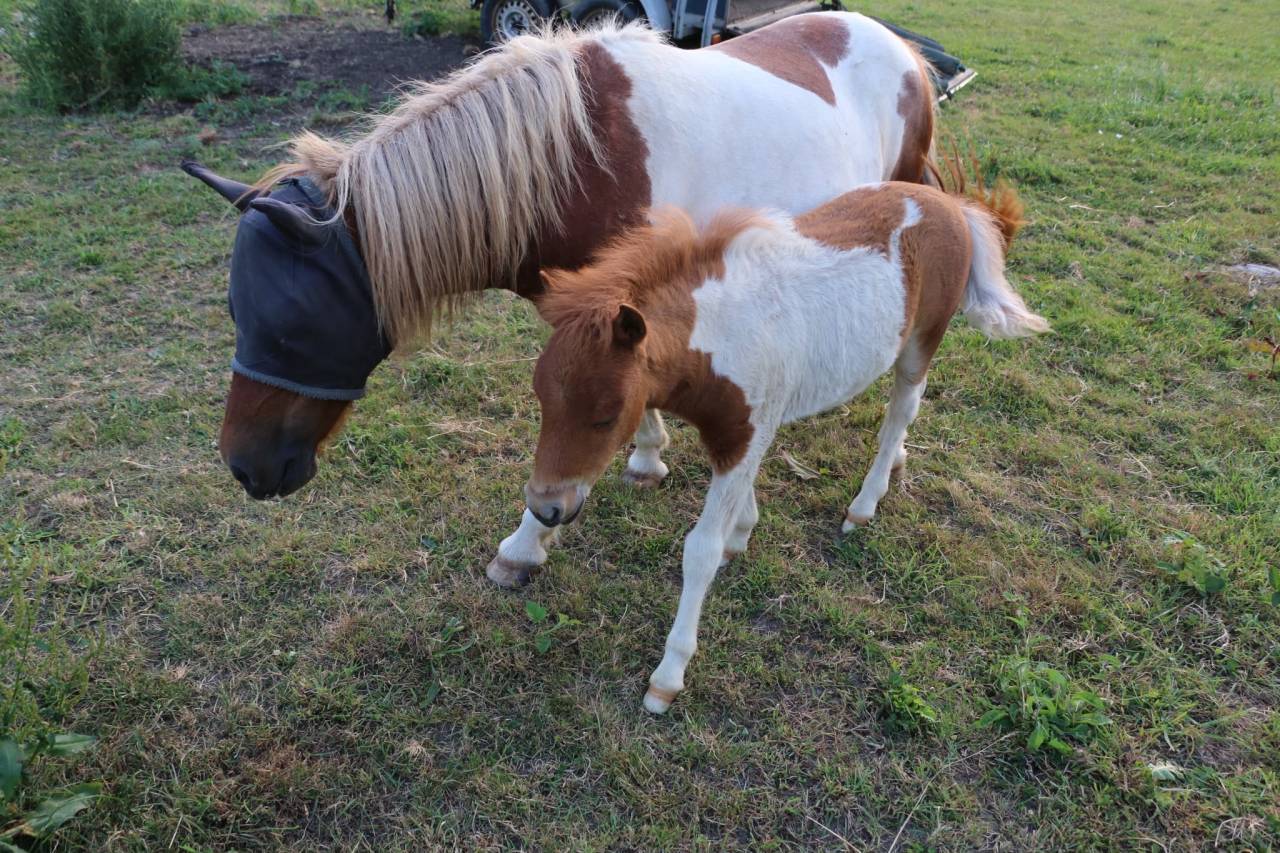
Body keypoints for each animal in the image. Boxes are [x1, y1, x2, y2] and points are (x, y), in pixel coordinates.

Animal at [181, 14, 938, 579]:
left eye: (292, 328)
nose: (246, 469)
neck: (581, 162)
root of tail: (901, 49)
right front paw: (647, 456)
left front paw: (525, 545)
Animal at [522, 176, 1049, 712]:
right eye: (540, 396)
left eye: (606, 417)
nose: (546, 508)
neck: (718, 340)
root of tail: (948, 203)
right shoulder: (742, 433)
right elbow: (743, 496)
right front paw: (742, 533)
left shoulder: (741, 436)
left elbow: (700, 551)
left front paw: (667, 677)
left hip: (921, 342)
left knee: (901, 414)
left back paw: (865, 503)